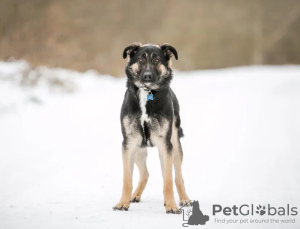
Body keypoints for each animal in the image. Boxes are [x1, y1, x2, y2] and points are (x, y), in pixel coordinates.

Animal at [112, 42, 190, 214]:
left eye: (156, 60)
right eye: (141, 60)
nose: (147, 76)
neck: (146, 94)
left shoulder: (165, 146)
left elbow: (168, 181)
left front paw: (171, 205)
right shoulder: (129, 143)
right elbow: (127, 179)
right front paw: (123, 203)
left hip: (175, 147)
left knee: (178, 176)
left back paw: (184, 199)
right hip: (138, 149)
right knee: (145, 174)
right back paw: (134, 195)